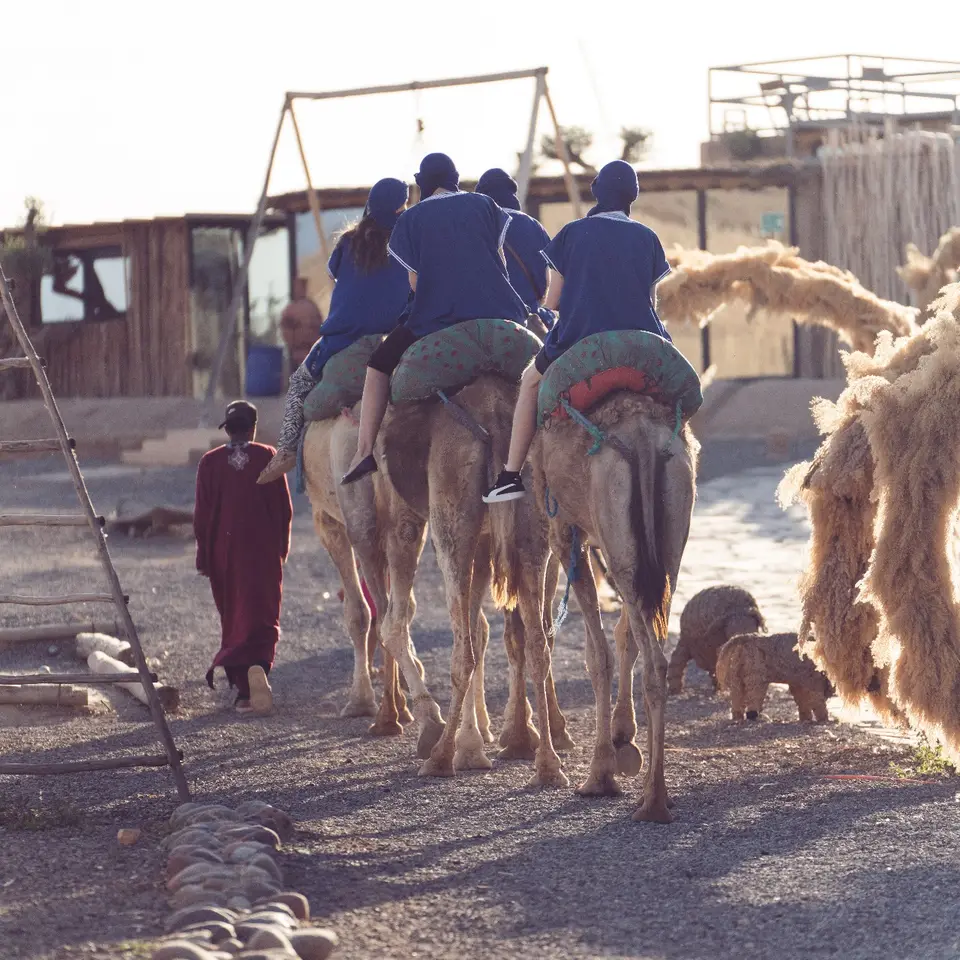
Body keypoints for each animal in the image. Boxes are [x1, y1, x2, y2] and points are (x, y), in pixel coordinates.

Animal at [532, 393, 698, 822]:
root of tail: (642, 441)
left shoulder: (566, 532)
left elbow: (598, 656)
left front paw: (601, 774)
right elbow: (625, 639)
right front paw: (624, 741)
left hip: (613, 531)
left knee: (649, 659)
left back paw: (652, 801)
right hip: (666, 542)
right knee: (654, 647)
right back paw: (656, 795)